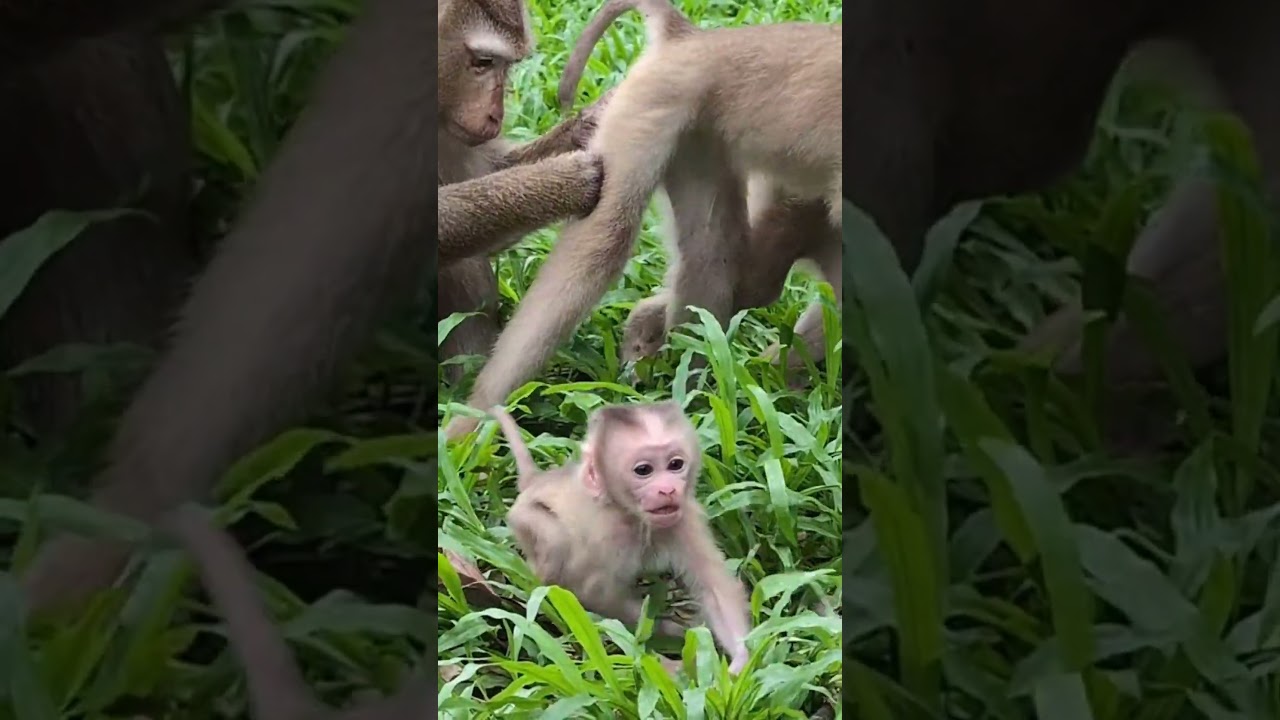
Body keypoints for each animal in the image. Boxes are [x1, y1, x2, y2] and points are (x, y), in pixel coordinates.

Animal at [444, 9, 841, 439]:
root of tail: (689, 37)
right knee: (605, 242)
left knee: (718, 261)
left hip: (698, 134)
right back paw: (474, 418)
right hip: (654, 105)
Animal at [492, 402, 753, 674]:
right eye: (644, 470)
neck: (629, 514)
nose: (668, 489)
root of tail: (536, 481)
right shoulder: (608, 535)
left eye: (675, 464)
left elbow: (714, 587)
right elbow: (591, 594)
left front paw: (741, 660)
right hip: (523, 517)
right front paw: (668, 638)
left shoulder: (684, 519)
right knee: (555, 541)